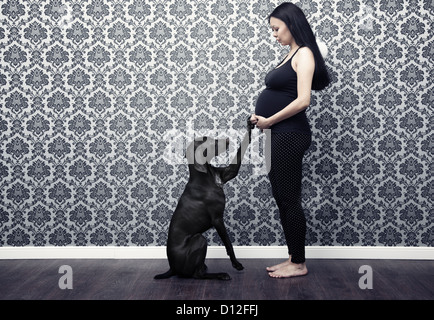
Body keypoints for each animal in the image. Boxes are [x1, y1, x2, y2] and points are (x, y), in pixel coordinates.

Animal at [154, 118, 254, 280]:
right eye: (206, 139)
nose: (227, 139)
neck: (206, 176)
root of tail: (172, 268)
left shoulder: (228, 172)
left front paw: (250, 126)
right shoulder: (217, 219)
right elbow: (228, 243)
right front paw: (236, 264)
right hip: (199, 239)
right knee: (197, 275)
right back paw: (220, 275)